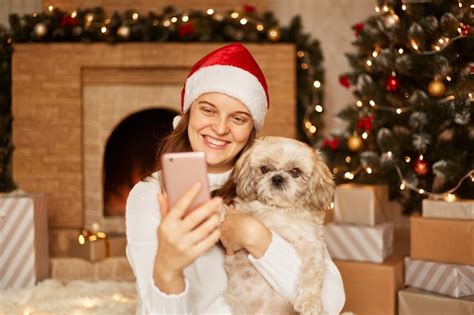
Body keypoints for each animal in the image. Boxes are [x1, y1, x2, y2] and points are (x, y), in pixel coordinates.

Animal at [221, 136, 334, 315]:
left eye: (295, 172)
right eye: (264, 169)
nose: (277, 178)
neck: (277, 209)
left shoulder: (312, 243)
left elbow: (311, 270)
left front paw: (309, 302)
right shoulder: (239, 211)